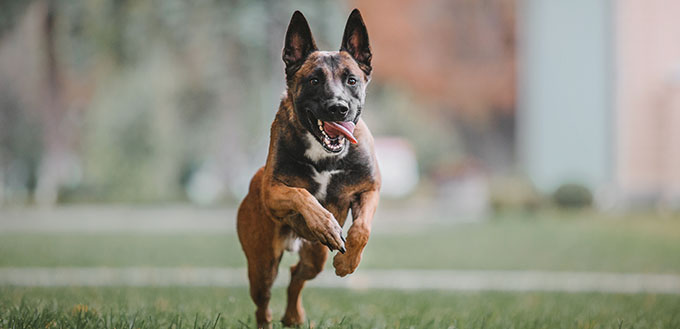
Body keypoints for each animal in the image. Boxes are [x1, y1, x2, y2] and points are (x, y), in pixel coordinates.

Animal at [236, 9, 380, 326]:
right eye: (314, 80)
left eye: (352, 80)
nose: (338, 108)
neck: (325, 154)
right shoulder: (273, 193)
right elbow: (302, 195)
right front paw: (325, 223)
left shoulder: (369, 189)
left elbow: (362, 230)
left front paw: (347, 262)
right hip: (262, 264)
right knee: (263, 303)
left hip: (315, 257)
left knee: (296, 276)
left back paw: (293, 315)